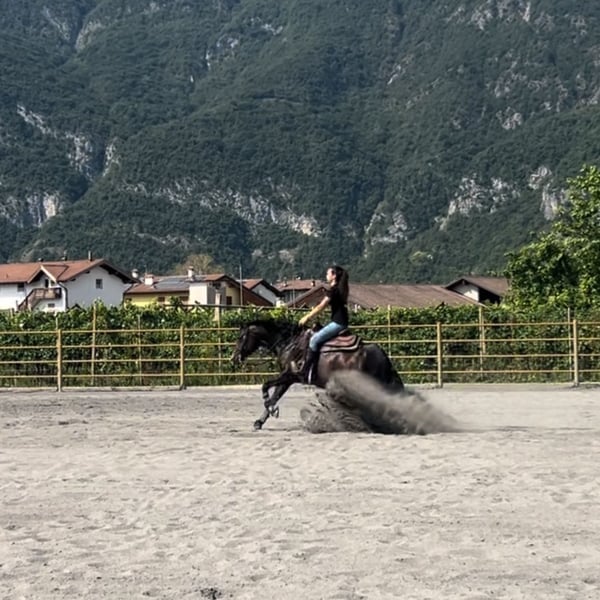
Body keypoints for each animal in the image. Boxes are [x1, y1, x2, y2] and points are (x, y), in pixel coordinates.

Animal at [230, 318, 404, 430]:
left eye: (241, 337)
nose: (234, 358)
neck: (289, 344)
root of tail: (381, 354)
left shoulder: (292, 375)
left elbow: (266, 387)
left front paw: (271, 409)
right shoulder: (287, 378)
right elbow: (275, 396)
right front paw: (260, 421)